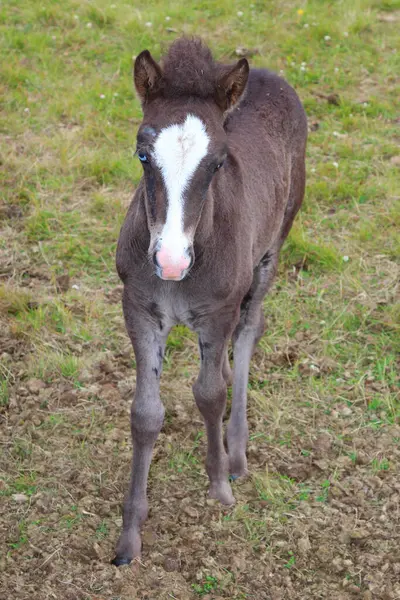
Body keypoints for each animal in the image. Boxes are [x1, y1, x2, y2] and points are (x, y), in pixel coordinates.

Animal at [112, 38, 306, 568]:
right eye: (142, 154)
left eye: (218, 163)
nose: (171, 261)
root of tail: (265, 74)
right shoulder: (140, 311)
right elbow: (146, 414)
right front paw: (130, 535)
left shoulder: (217, 313)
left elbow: (209, 394)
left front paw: (219, 486)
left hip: (272, 249)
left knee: (249, 330)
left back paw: (236, 451)